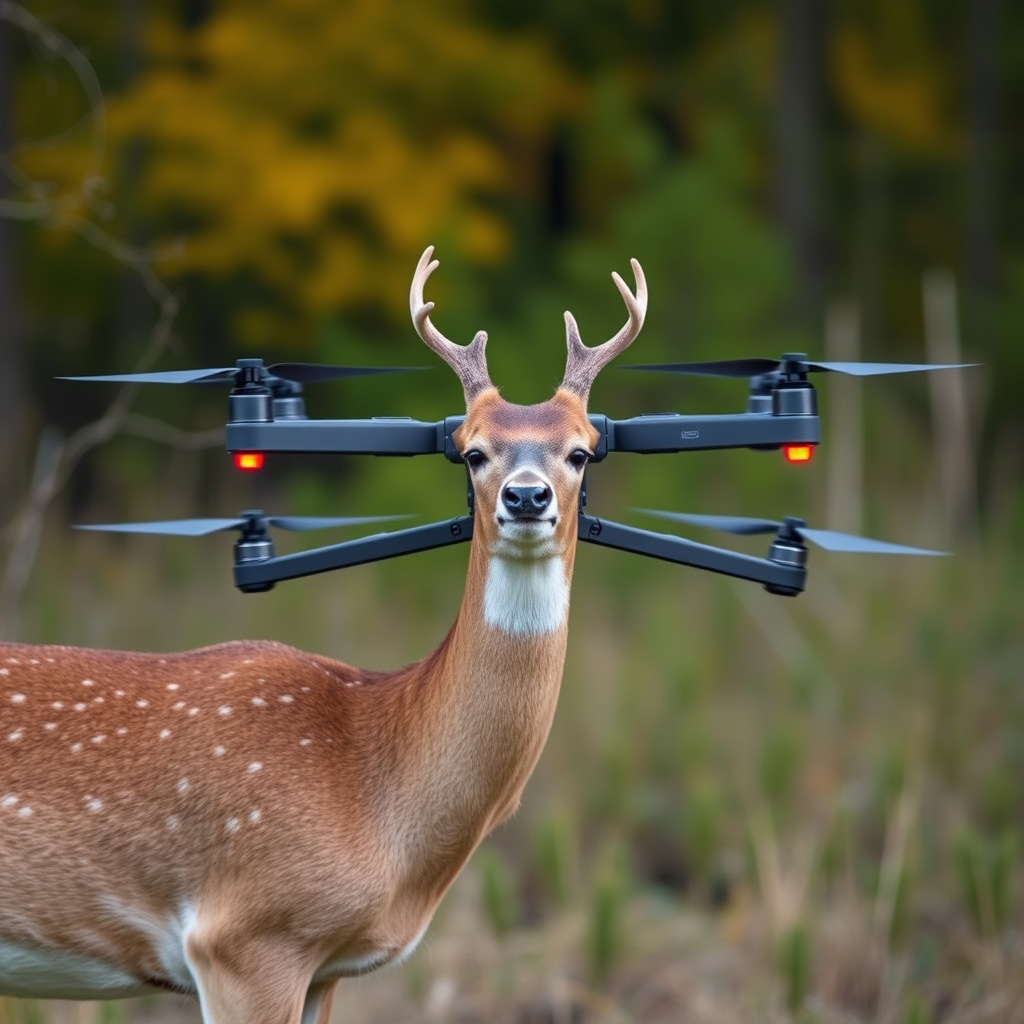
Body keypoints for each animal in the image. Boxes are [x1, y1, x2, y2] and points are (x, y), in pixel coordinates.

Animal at [0, 245, 647, 1024]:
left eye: (583, 451)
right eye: (471, 451)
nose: (527, 496)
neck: (382, 790)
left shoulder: (325, 969)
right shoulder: (247, 936)